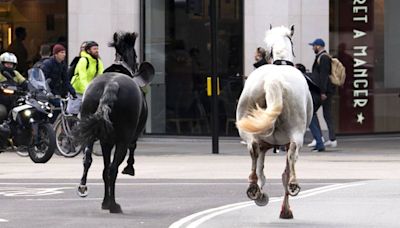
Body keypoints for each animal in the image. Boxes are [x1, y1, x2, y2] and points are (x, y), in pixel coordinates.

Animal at [75, 31, 155, 213]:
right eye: (136, 55)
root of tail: (111, 85)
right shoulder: (128, 137)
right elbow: (131, 150)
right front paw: (129, 168)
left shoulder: (106, 142)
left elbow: (104, 170)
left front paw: (104, 201)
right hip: (122, 140)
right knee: (113, 169)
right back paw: (113, 205)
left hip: (91, 133)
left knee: (88, 160)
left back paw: (85, 188)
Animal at [236, 25, 314, 219]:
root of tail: (273, 80)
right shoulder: (284, 143)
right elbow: (284, 172)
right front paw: (285, 209)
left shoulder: (264, 145)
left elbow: (261, 170)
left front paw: (261, 194)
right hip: (296, 134)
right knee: (291, 160)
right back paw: (293, 185)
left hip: (249, 133)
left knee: (253, 152)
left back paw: (254, 189)